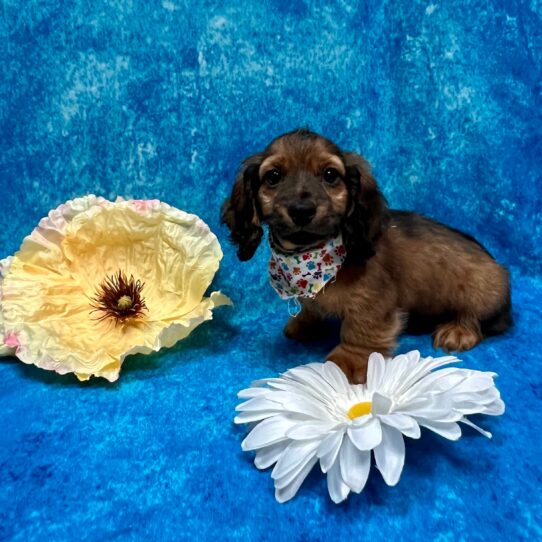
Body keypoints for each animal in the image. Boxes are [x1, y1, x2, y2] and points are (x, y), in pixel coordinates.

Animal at [222, 130, 516, 384]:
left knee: (474, 317)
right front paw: (305, 323)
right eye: (273, 176)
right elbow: (311, 308)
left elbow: (359, 330)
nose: (302, 209)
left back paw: (458, 330)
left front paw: (348, 360)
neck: (314, 258)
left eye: (330, 175)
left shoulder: (372, 301)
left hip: (483, 287)